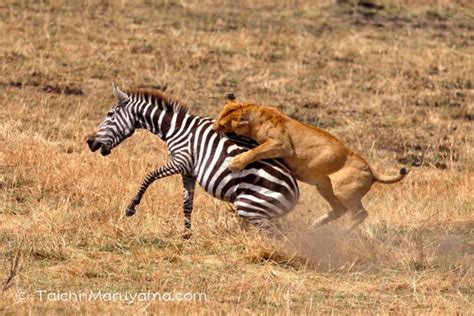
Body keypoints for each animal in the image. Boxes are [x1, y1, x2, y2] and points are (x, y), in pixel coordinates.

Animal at [87, 84, 298, 237]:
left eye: (110, 115)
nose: (89, 142)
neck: (174, 128)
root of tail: (295, 193)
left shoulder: (181, 160)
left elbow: (149, 176)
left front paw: (132, 207)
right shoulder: (188, 171)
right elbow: (187, 204)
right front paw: (186, 235)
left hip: (249, 206)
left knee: (280, 237)